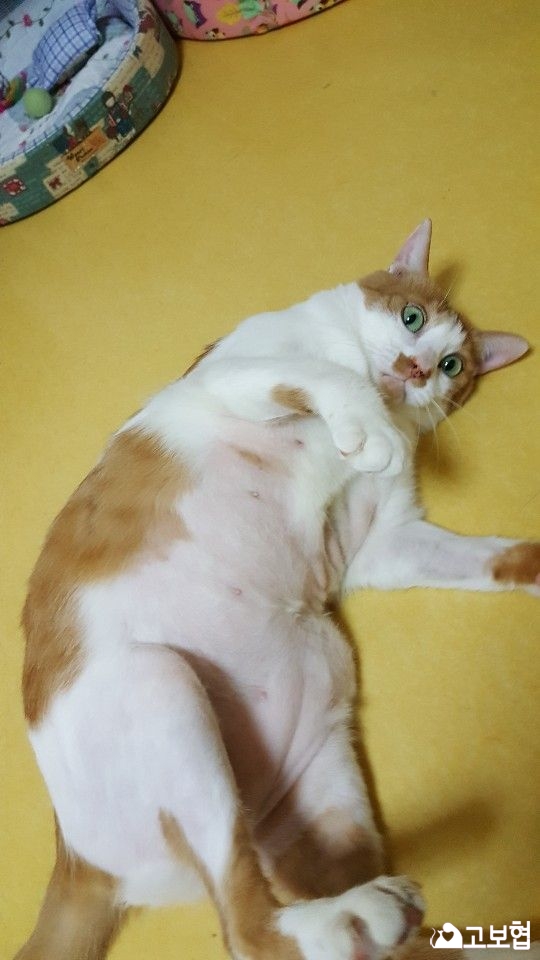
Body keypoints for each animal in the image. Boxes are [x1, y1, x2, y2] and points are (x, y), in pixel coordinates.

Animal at [17, 220, 540, 960]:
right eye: (411, 318)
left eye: (451, 367)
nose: (413, 371)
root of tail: (76, 858)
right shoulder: (236, 375)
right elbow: (328, 375)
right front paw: (368, 417)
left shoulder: (386, 542)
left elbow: (485, 559)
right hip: (159, 683)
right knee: (246, 927)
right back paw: (359, 917)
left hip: (320, 789)